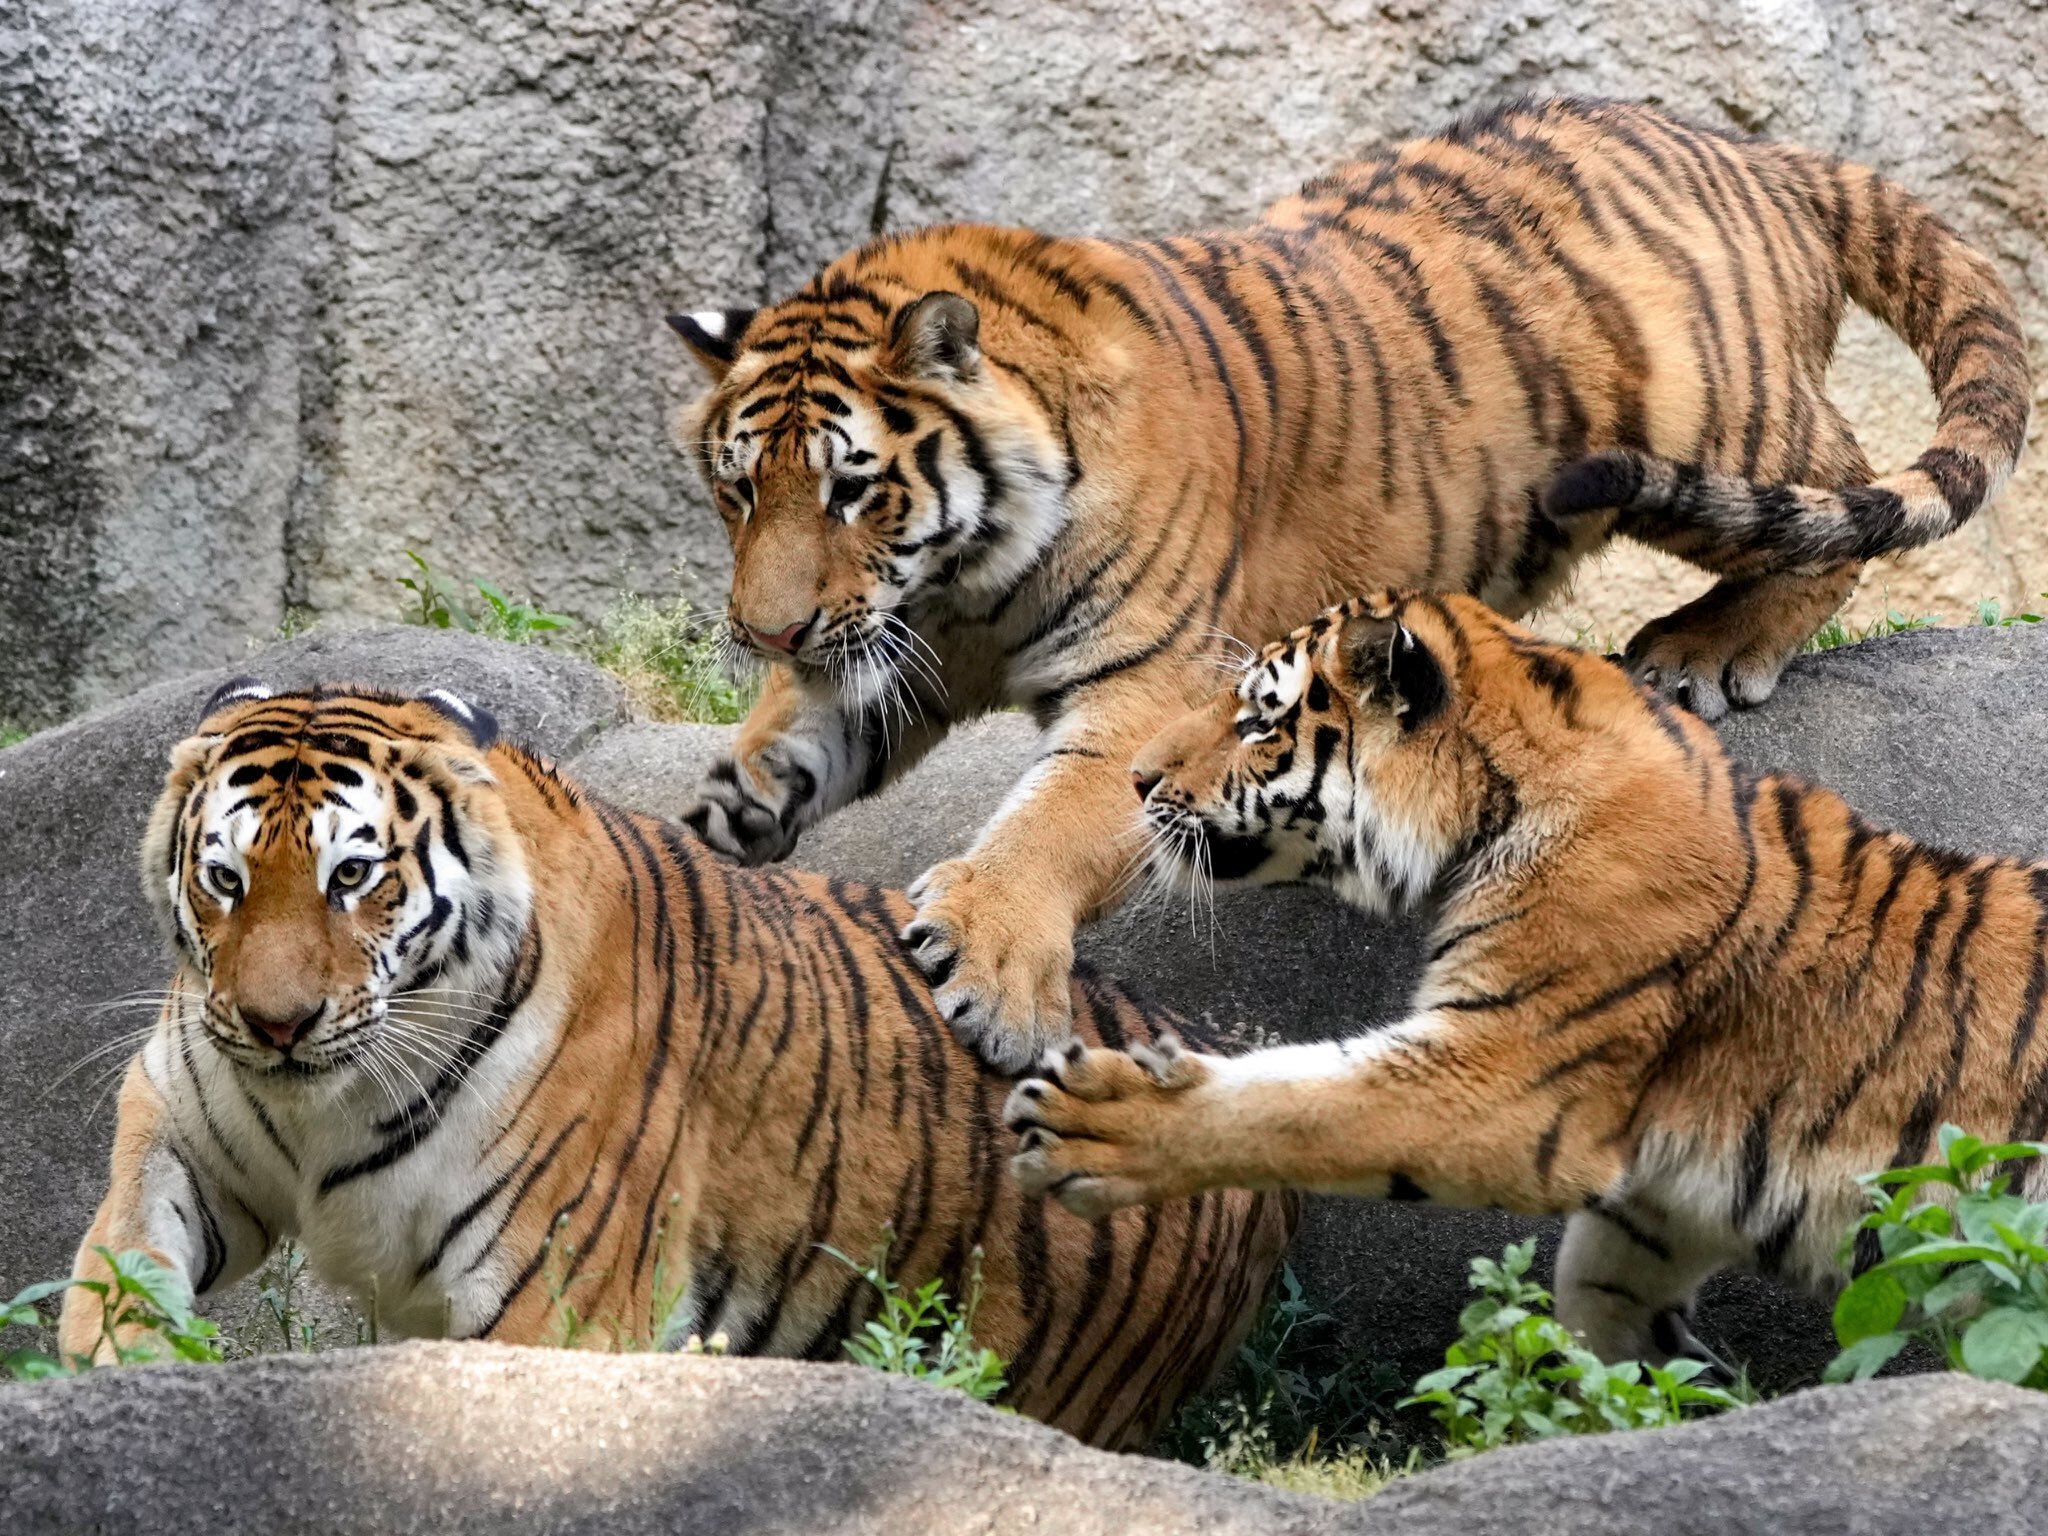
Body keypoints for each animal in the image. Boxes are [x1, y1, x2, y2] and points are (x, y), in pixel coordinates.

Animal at [68, 684, 1294, 1458]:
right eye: (225, 878)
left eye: (353, 877)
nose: (277, 1023)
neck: (322, 1103)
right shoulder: (186, 1113)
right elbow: (123, 1251)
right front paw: (109, 1370)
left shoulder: (552, 1302)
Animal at [667, 99, 2031, 1081]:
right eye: (737, 489)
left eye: (851, 490)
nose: (763, 628)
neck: (965, 576)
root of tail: (1753, 149)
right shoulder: (891, 644)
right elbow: (793, 741)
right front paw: (716, 822)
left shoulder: (1150, 683)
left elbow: (1057, 819)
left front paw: (987, 964)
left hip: (1707, 415)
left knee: (1837, 491)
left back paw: (1704, 647)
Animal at [999, 593, 2048, 1368]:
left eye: (1260, 718)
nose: (1135, 779)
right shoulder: (1664, 1197)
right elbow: (1596, 1296)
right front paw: (1641, 1407)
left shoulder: (1501, 1078)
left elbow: (1293, 1102)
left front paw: (1098, 1121)